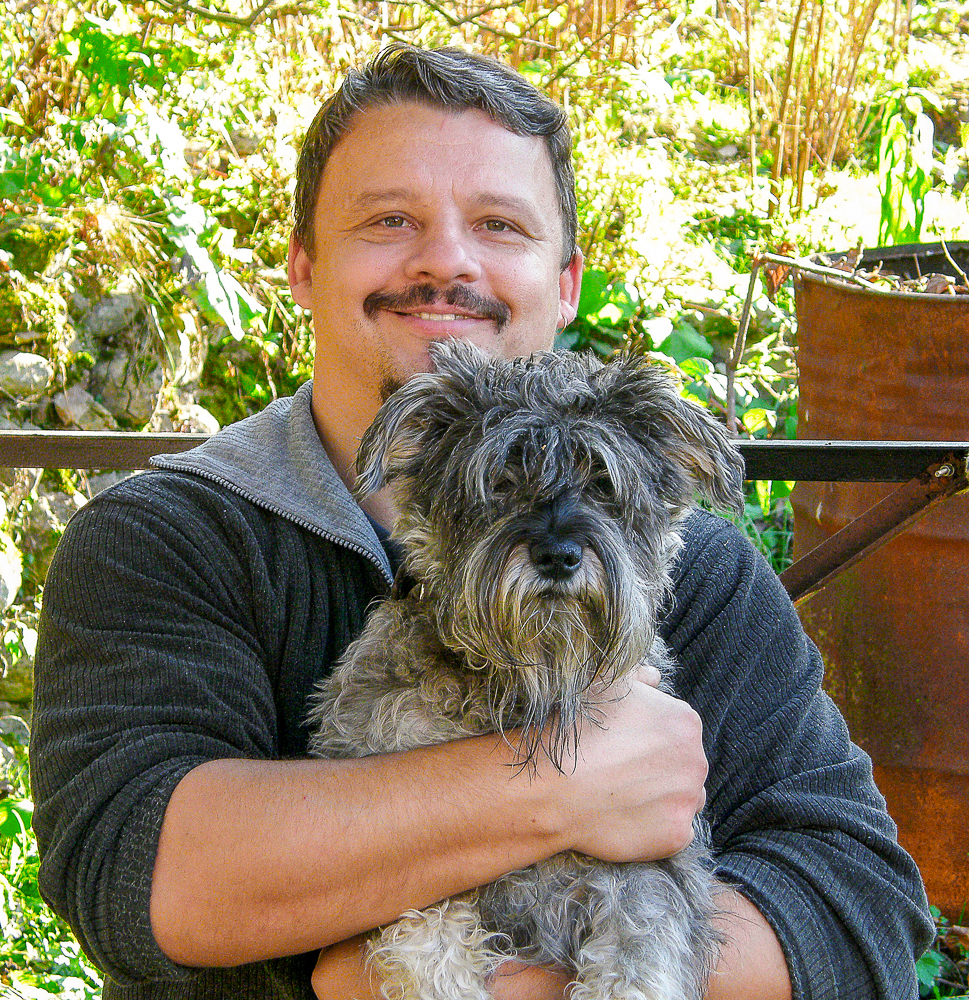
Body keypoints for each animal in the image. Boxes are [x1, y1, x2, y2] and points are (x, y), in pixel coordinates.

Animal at [306, 339, 746, 1000]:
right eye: (501, 481)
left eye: (603, 484)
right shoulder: (408, 867)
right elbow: (427, 936)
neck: (523, 684)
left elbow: (641, 953)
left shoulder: (651, 865)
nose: (558, 555)